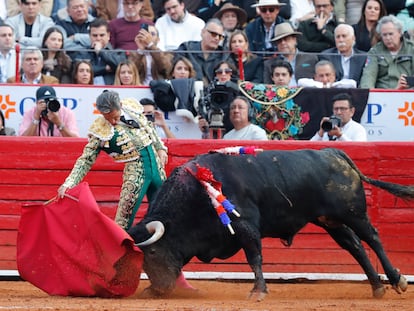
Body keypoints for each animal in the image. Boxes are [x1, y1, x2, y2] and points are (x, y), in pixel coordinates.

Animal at [128, 150, 412, 302]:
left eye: (152, 251)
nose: (159, 290)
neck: (197, 194)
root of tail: (335, 153)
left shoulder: (246, 225)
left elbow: (255, 257)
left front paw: (258, 292)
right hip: (329, 221)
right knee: (355, 246)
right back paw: (377, 287)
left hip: (352, 213)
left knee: (372, 238)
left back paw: (397, 280)